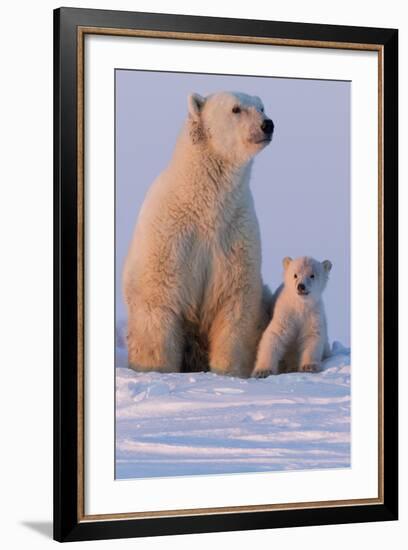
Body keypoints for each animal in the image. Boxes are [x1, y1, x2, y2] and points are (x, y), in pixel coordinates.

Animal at [123, 91, 274, 380]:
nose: (267, 125)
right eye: (236, 109)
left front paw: (228, 373)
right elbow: (158, 298)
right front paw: (156, 369)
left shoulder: (235, 233)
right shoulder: (170, 234)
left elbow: (234, 302)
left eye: (262, 107)